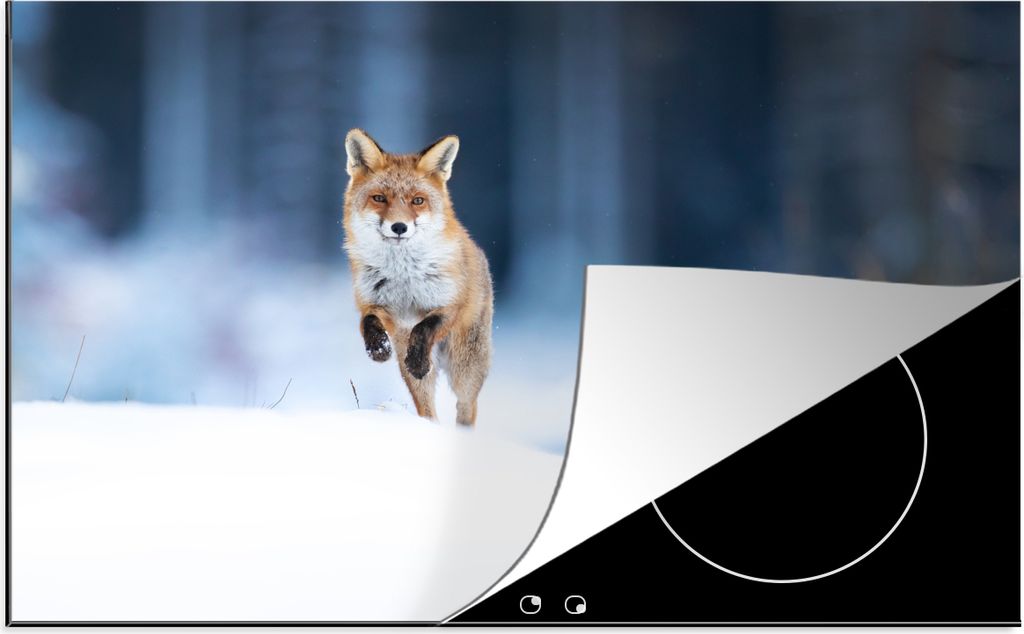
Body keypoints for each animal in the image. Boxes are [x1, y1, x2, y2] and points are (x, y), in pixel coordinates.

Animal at [342, 128, 493, 426]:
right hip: (411, 367)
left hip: (464, 366)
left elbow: (425, 327)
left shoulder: (450, 305)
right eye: (379, 198)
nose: (399, 227)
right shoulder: (378, 306)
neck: (403, 274)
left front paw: (418, 358)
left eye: (418, 201)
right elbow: (367, 322)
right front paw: (378, 348)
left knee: (466, 406)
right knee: (427, 407)